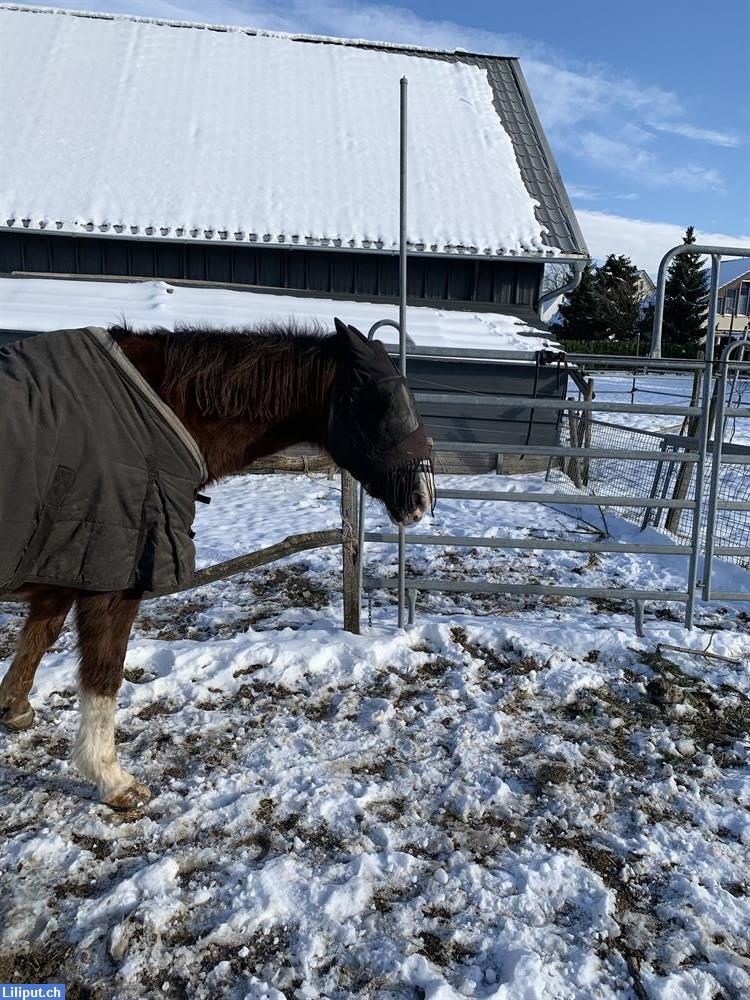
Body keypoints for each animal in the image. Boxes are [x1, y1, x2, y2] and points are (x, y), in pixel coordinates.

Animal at [0, 320, 434, 812]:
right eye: (383, 406)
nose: (421, 500)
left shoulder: (65, 561)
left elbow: (38, 637)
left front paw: (14, 706)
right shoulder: (110, 581)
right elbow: (103, 674)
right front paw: (111, 778)